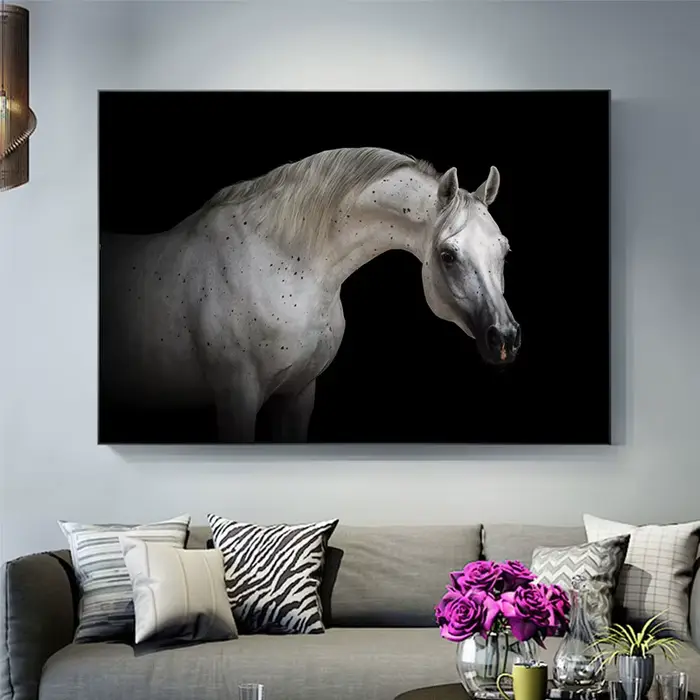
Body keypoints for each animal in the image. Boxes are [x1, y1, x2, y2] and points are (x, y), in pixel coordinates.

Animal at [99, 146, 520, 443]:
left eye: (504, 249)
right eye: (448, 255)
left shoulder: (299, 394)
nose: (505, 339)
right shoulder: (236, 398)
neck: (280, 263)